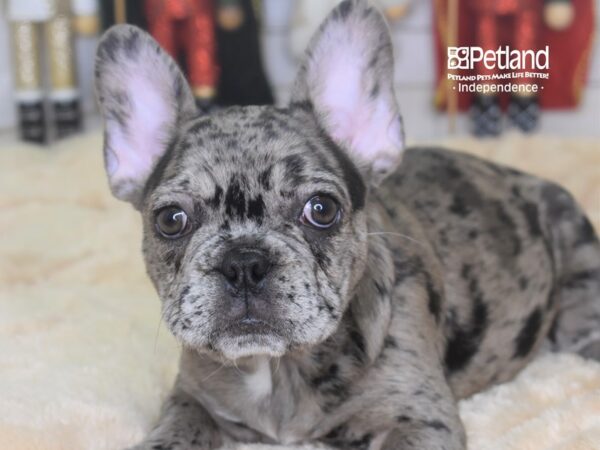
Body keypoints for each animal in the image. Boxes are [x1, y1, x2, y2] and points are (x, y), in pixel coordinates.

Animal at [94, 1, 600, 448]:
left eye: (321, 210)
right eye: (170, 220)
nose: (244, 262)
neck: (276, 371)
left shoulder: (420, 417)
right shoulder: (189, 397)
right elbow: (177, 426)